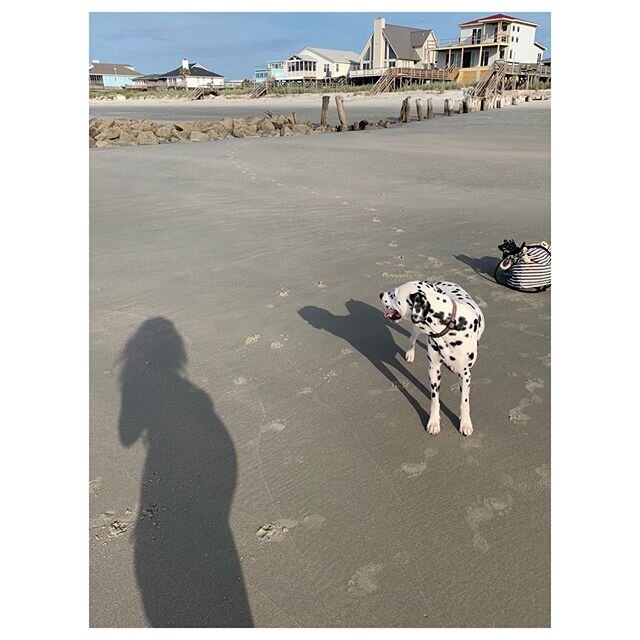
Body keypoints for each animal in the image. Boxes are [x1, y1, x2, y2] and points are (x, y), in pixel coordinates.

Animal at [380, 280, 484, 436]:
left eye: (395, 294)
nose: (381, 294)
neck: (450, 326)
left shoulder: (465, 374)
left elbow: (464, 401)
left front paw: (465, 422)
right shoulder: (434, 369)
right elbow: (435, 400)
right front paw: (434, 422)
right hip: (417, 330)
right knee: (412, 337)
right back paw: (410, 353)